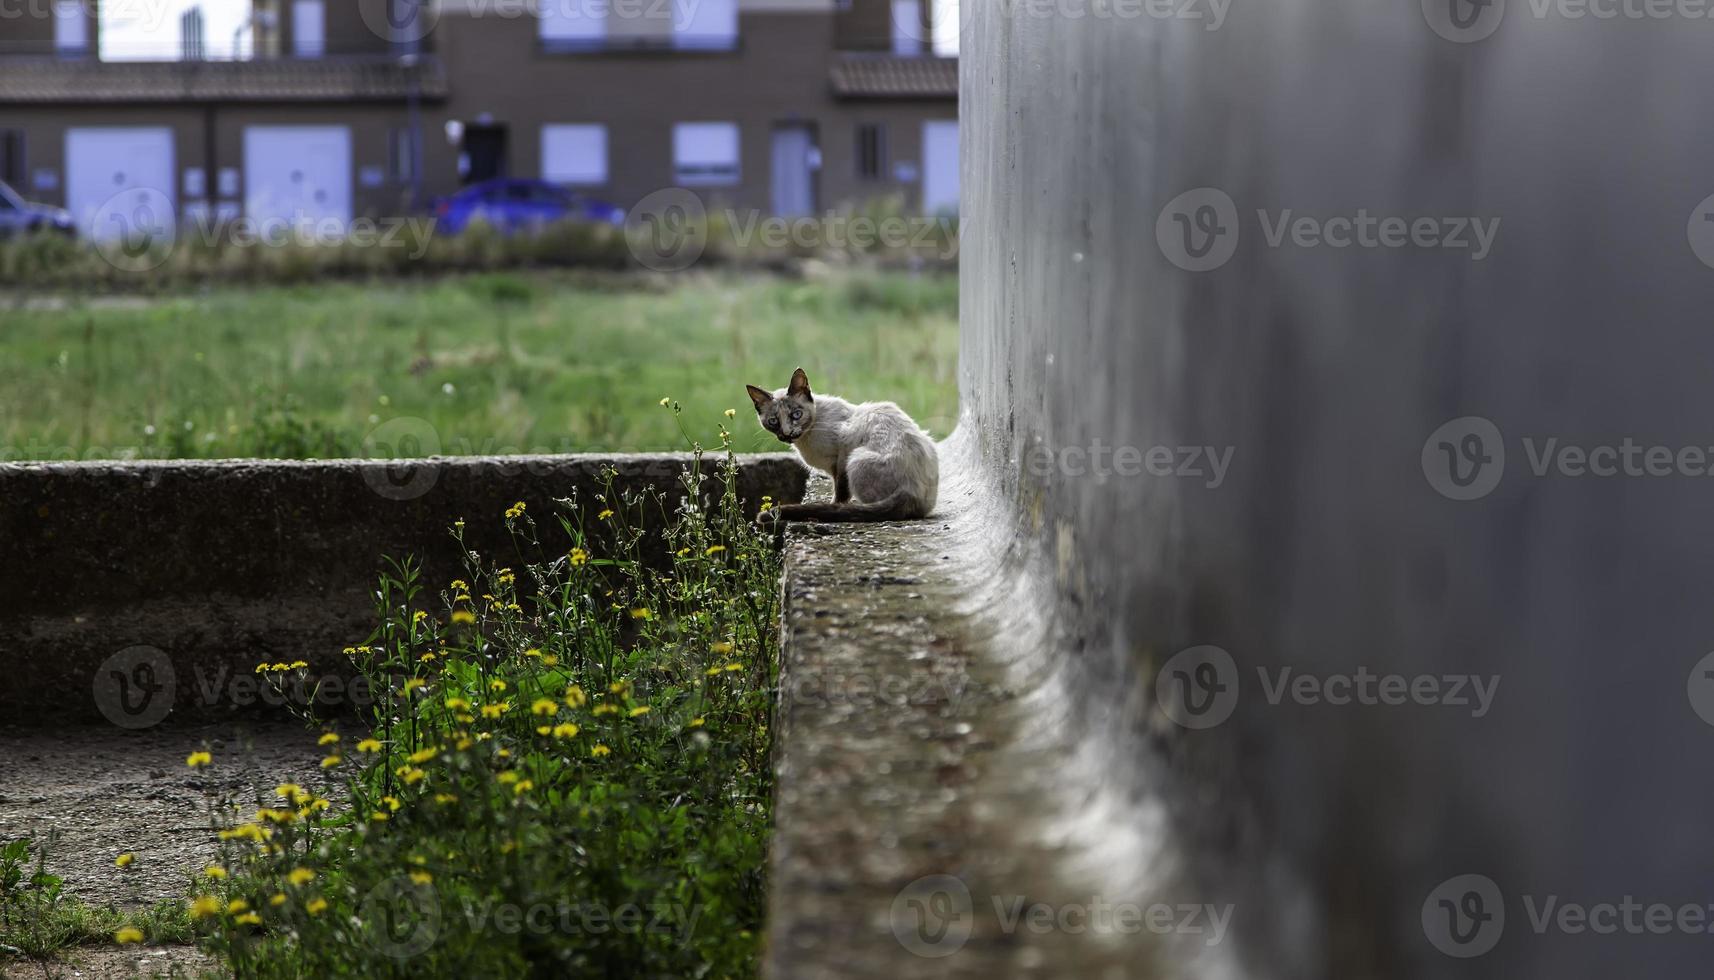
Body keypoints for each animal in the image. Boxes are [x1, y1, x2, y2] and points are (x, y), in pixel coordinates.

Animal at [747, 366, 939, 520]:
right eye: (773, 421)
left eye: (796, 415)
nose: (786, 434)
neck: (807, 435)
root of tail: (911, 490)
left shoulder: (841, 456)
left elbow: (840, 490)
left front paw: (835, 505)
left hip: (855, 459)